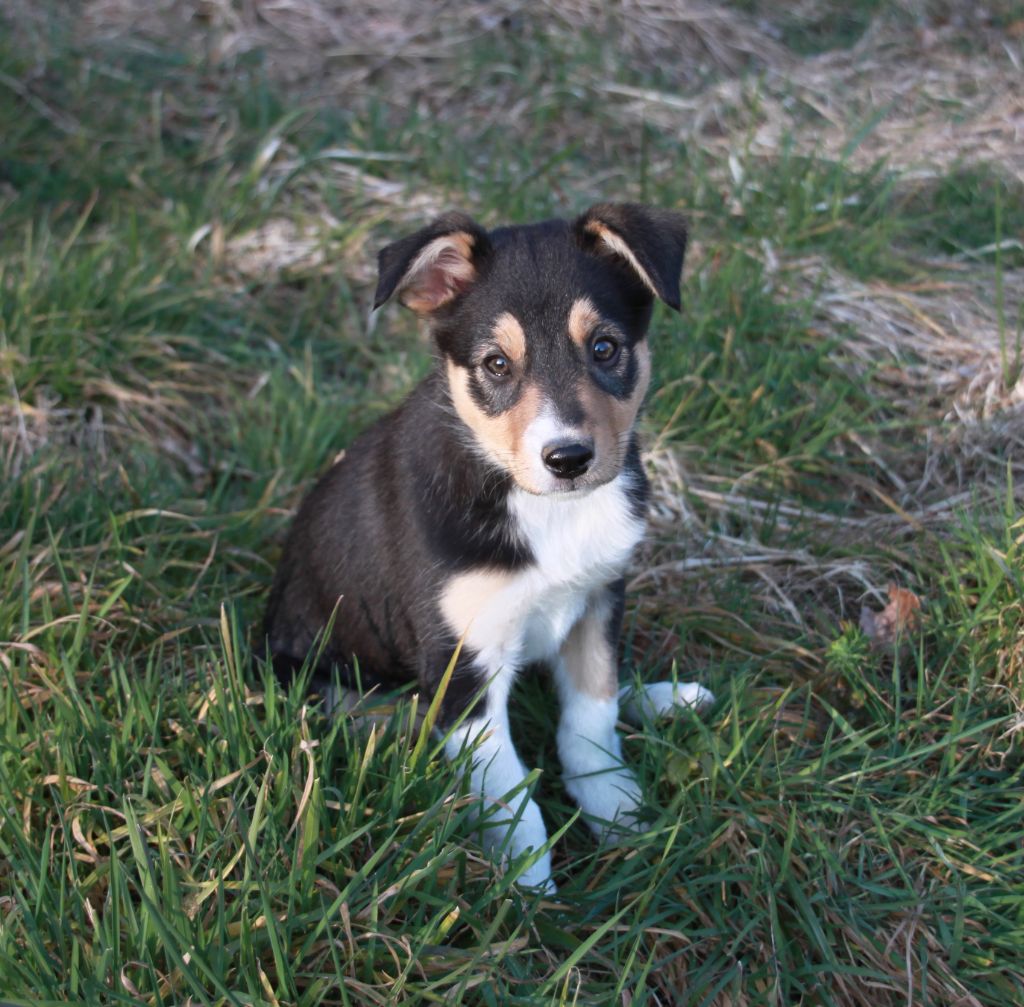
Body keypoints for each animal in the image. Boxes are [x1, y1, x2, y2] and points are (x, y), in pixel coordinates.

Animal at [264, 198, 712, 889]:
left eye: (605, 348)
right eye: (496, 364)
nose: (568, 459)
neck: (543, 509)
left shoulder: (600, 598)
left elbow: (590, 713)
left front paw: (618, 809)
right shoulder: (464, 664)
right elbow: (507, 789)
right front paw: (529, 885)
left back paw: (665, 698)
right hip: (329, 685)